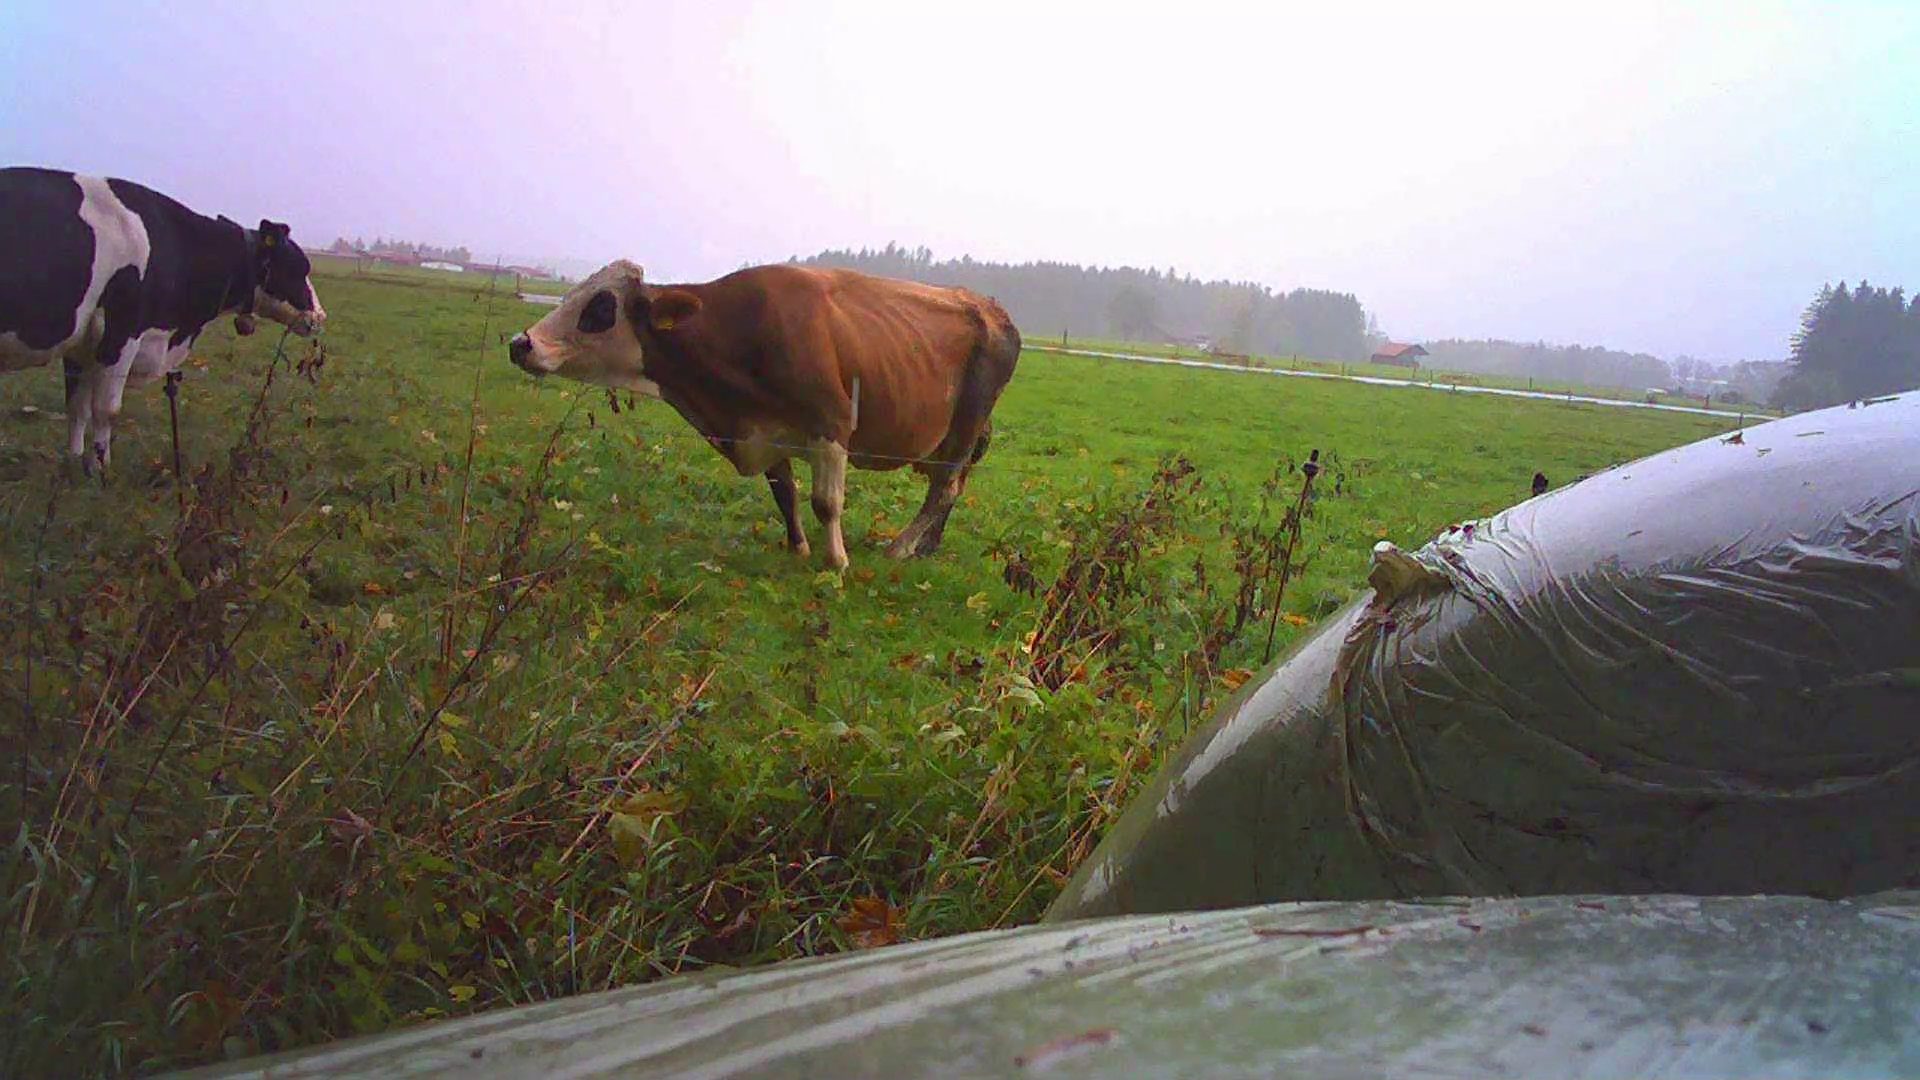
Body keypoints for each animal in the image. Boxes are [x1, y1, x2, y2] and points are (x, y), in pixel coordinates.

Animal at [0, 166, 326, 472]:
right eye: (300, 267)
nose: (320, 316)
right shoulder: (122, 330)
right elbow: (106, 409)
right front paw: (101, 470)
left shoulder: (82, 341)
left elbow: (77, 406)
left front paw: (76, 462)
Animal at [508, 260, 1021, 569]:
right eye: (572, 294)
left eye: (600, 307)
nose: (520, 343)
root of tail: (992, 309)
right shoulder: (766, 430)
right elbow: (785, 495)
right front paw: (798, 549)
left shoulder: (832, 421)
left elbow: (825, 501)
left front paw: (836, 562)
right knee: (952, 487)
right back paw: (926, 547)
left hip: (964, 426)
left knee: (944, 487)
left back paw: (899, 547)